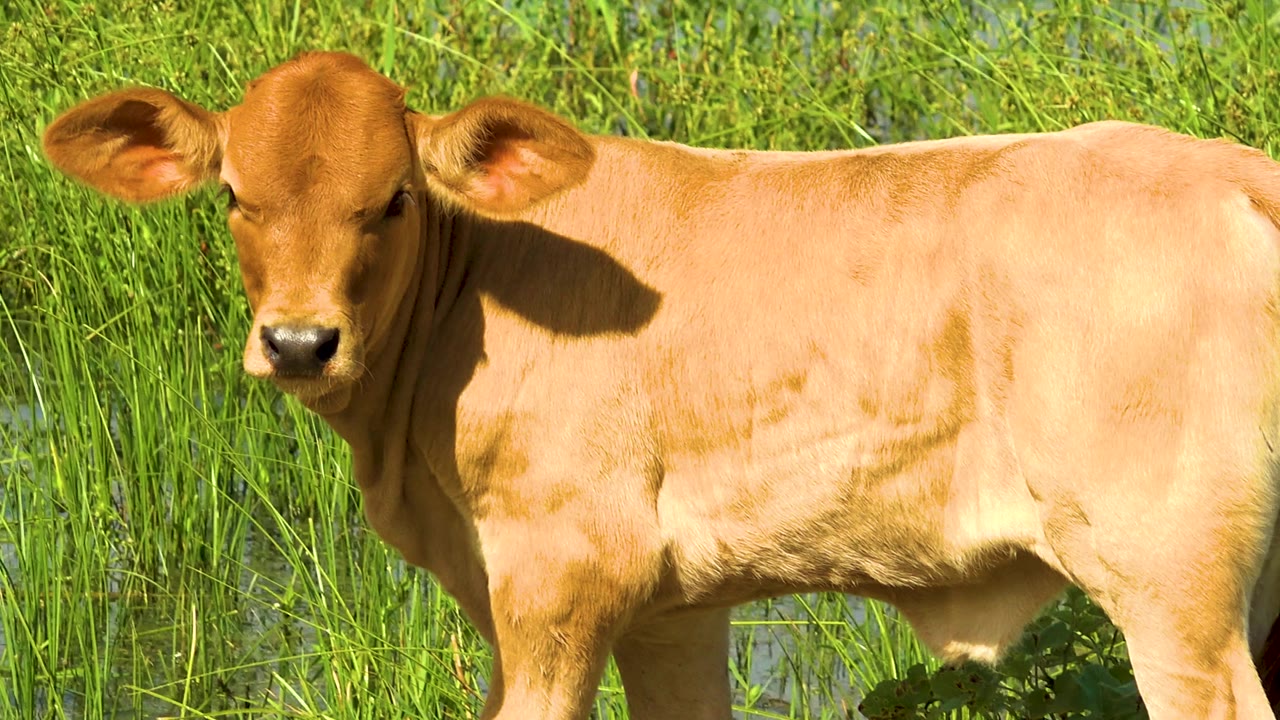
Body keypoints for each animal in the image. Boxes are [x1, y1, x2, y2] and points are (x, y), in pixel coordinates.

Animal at [40, 50, 1280, 719]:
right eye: (233, 195)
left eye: (391, 198)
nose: (299, 343)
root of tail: (1228, 169)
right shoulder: (671, 608)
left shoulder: (559, 577)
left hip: (1169, 584)